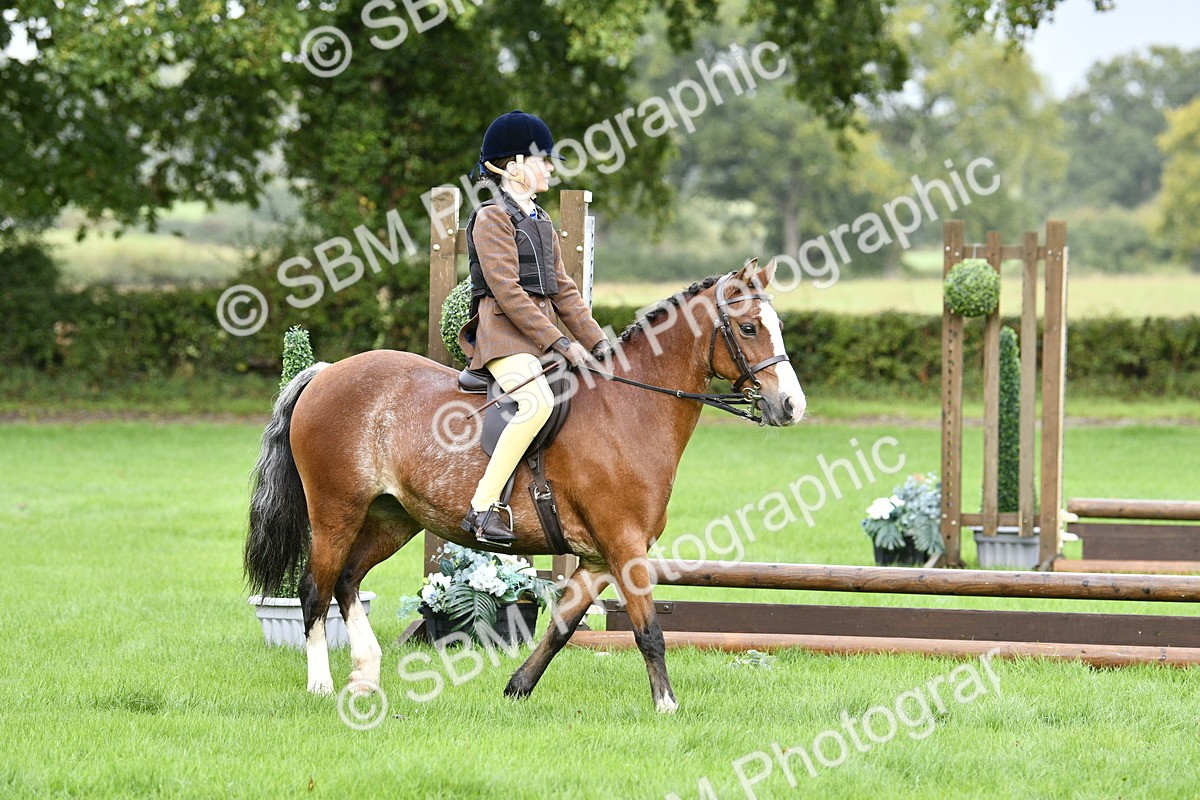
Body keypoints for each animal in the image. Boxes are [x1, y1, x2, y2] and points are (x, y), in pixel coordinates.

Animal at [243, 258, 806, 712]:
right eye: (749, 327)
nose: (791, 406)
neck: (629, 409)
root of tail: (325, 373)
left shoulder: (598, 559)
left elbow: (560, 629)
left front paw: (516, 689)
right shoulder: (625, 546)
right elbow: (648, 630)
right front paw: (666, 705)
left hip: (391, 519)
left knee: (347, 581)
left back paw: (365, 675)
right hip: (335, 511)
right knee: (315, 590)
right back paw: (321, 685)